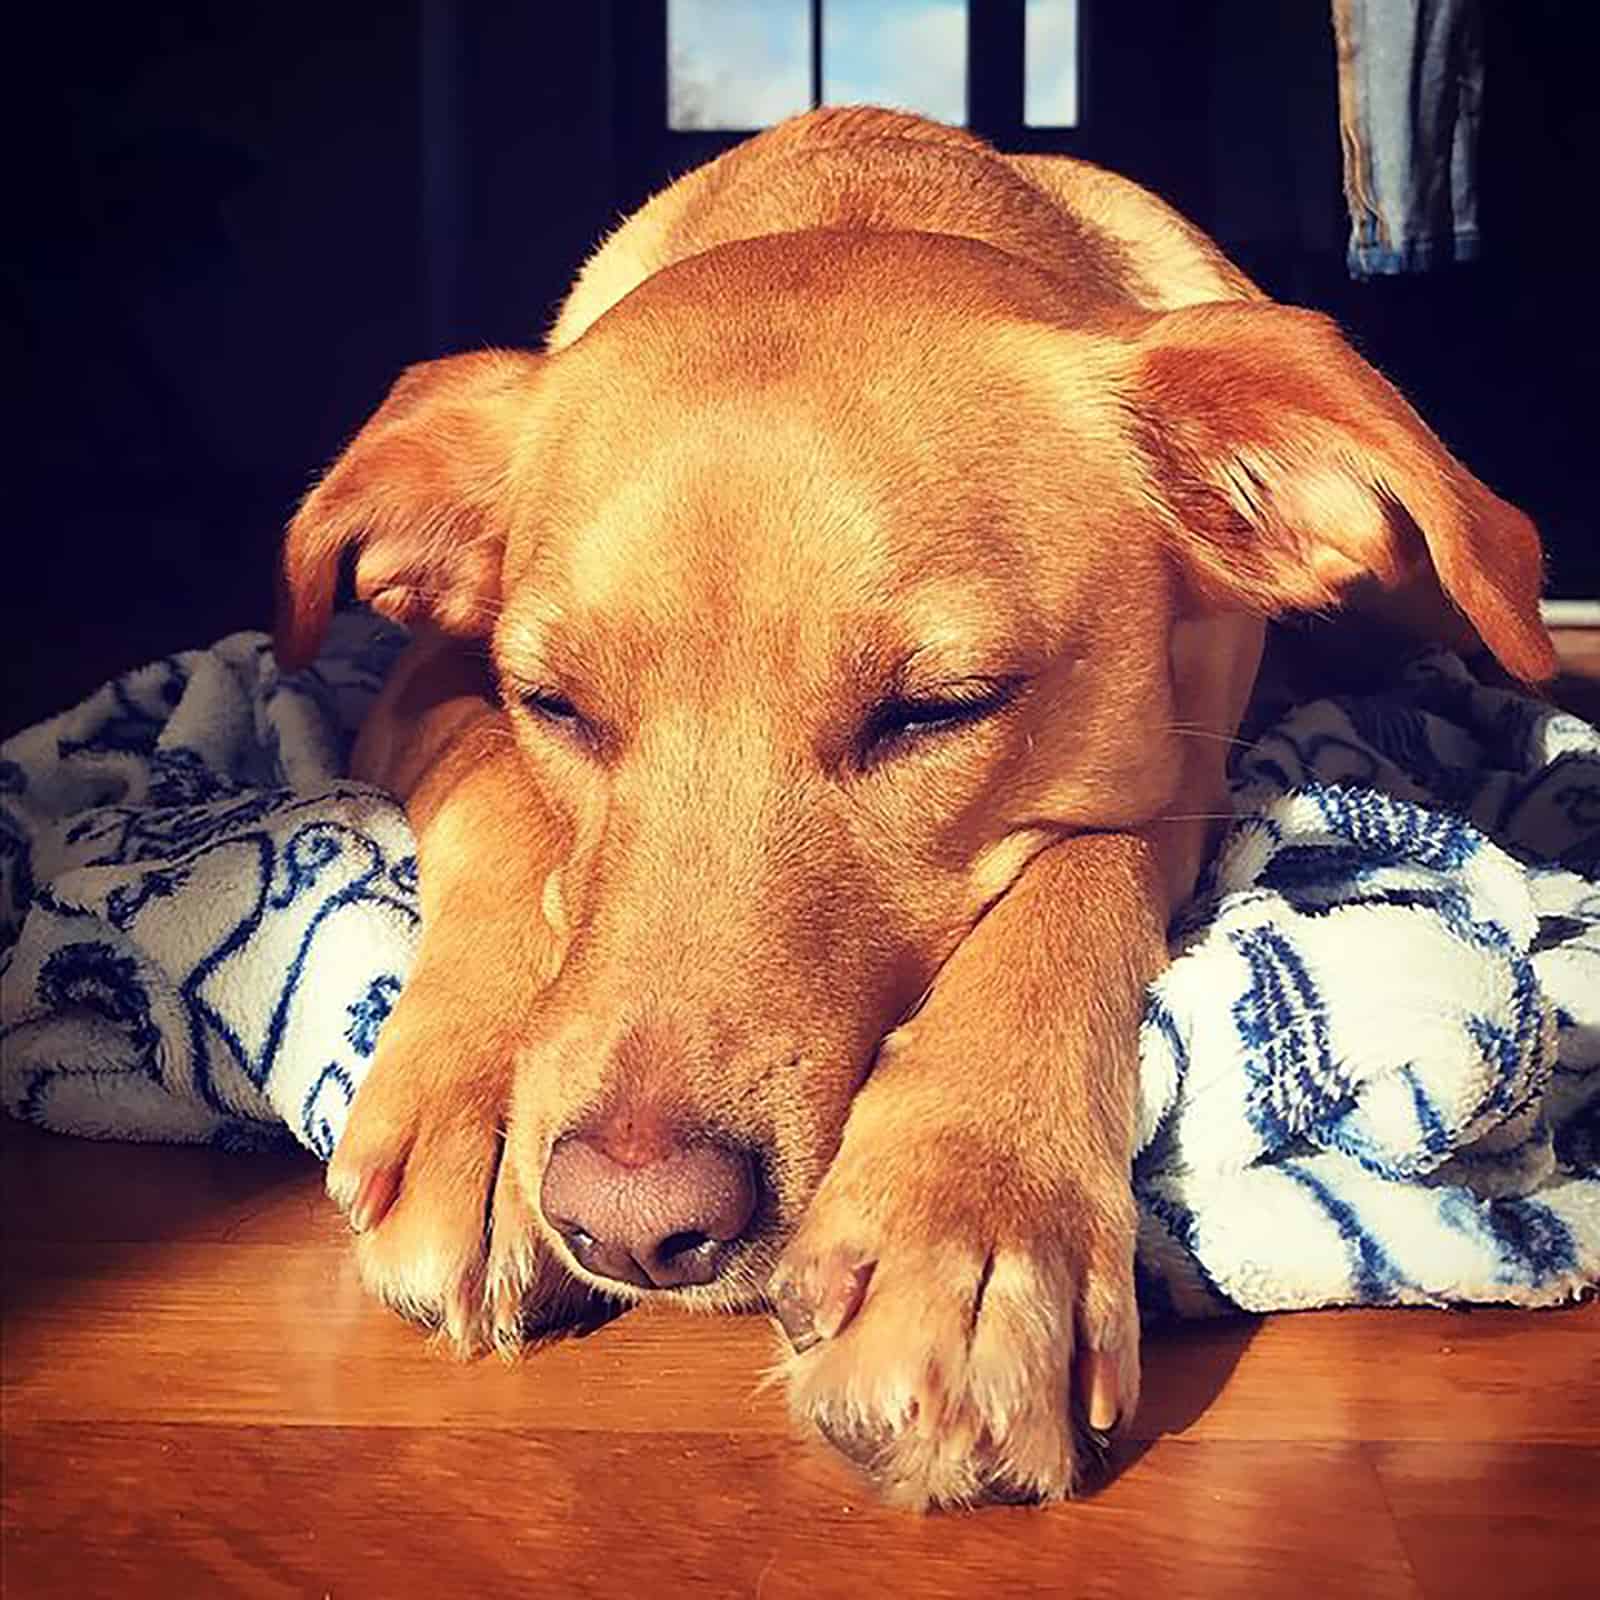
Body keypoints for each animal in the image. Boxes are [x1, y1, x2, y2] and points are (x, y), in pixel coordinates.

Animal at [272, 106, 1548, 1504]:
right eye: (552, 703)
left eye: (938, 709)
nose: (631, 1224)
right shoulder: (417, 680)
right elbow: (497, 789)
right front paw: (484, 1101)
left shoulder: (1182, 777)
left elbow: (1072, 882)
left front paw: (969, 1213)